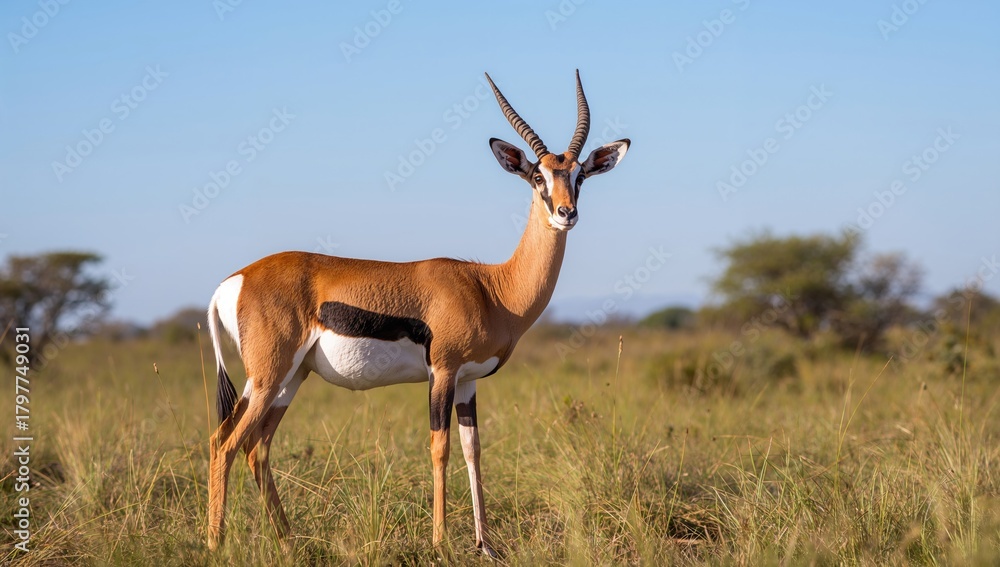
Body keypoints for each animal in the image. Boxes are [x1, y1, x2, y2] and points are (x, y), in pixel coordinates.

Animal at [205, 70, 630, 555]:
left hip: (289, 379)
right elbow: (439, 447)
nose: (566, 213)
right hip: (268, 377)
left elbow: (473, 449)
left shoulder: (467, 381)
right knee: (225, 442)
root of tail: (233, 281)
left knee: (255, 446)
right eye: (536, 176)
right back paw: (216, 544)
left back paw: (289, 541)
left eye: (579, 176)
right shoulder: (441, 372)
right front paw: (441, 542)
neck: (491, 287)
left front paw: (486, 545)